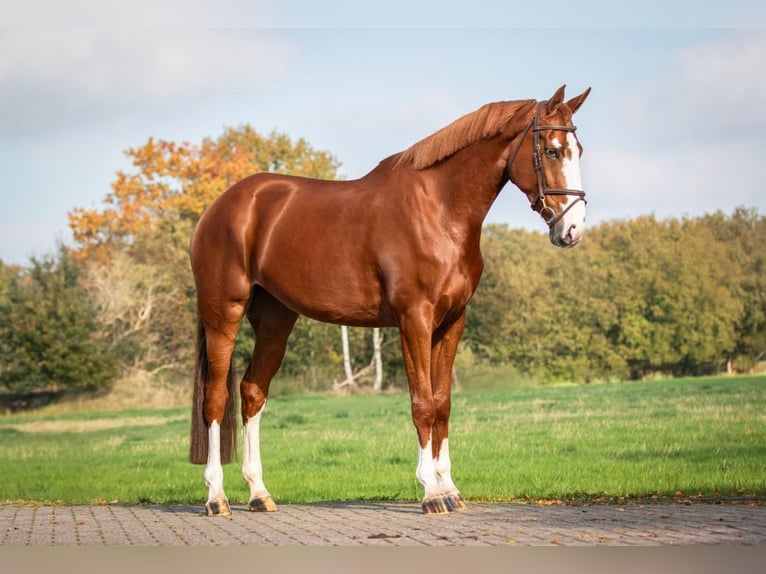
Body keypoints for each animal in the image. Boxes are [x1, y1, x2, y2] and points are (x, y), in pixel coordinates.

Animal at [190, 84, 592, 516]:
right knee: (216, 398)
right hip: (223, 314)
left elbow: (443, 404)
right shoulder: (414, 319)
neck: (438, 209)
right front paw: (431, 493)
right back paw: (216, 497)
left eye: (578, 149)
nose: (572, 228)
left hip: (275, 320)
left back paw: (259, 493)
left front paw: (451, 489)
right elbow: (423, 404)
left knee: (252, 392)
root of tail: (220, 208)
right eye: (551, 150)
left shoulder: (452, 322)